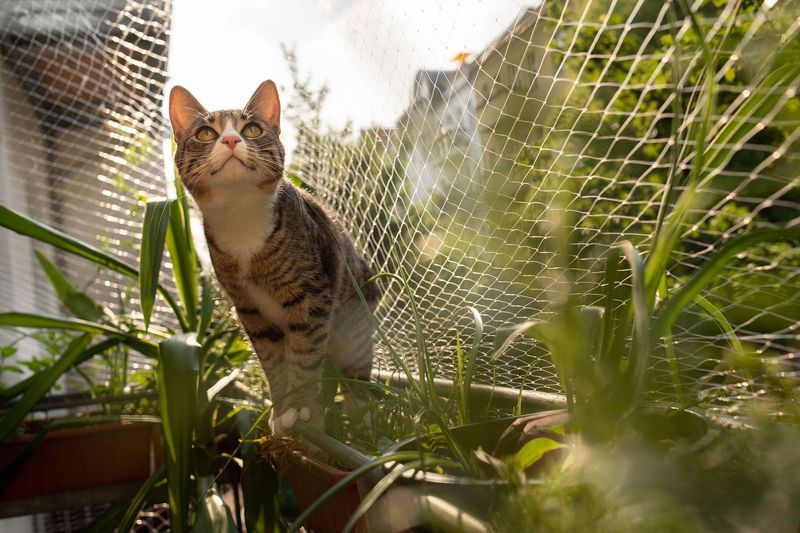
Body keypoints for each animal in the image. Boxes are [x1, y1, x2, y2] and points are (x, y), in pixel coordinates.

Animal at [168, 81, 378, 434]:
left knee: (356, 380)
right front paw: (281, 411)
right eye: (205, 134)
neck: (242, 220)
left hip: (355, 324)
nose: (230, 139)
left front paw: (303, 408)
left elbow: (304, 356)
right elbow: (272, 363)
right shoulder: (251, 312)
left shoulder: (311, 297)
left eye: (252, 129)